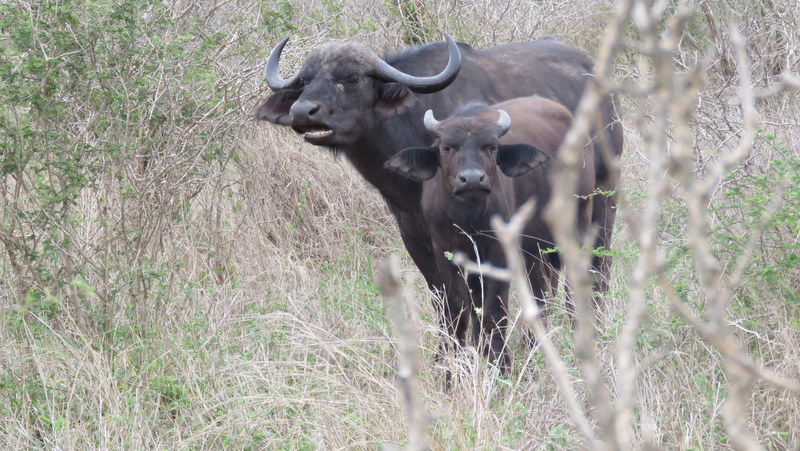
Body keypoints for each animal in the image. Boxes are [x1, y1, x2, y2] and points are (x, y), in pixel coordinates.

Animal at [256, 34, 622, 338]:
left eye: (351, 78)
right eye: (305, 81)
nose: (302, 111)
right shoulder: (417, 238)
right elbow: (448, 305)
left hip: (602, 203)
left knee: (594, 272)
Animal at [385, 97, 595, 373]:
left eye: (492, 147)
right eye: (446, 147)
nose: (472, 179)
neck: (469, 219)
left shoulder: (498, 251)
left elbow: (494, 308)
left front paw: (499, 365)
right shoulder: (444, 250)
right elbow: (458, 309)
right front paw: (453, 371)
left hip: (577, 222)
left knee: (571, 286)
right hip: (532, 248)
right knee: (542, 291)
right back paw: (533, 347)